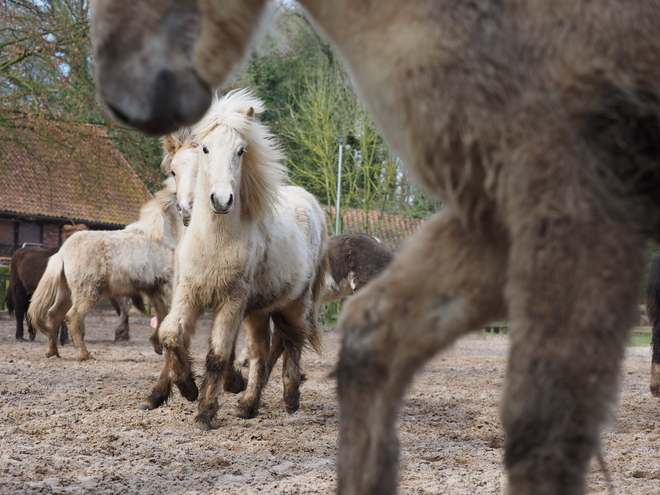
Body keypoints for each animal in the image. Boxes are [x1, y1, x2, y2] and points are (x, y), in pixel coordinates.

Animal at [28, 180, 183, 362]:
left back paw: (53, 352)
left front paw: (156, 344)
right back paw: (84, 354)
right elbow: (168, 314)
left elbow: (162, 314)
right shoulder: (167, 287)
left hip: (66, 293)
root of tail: (62, 253)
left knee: (53, 316)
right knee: (72, 318)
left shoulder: (153, 290)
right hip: (88, 293)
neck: (161, 237)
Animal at [146, 90, 328, 430]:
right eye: (205, 148)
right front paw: (185, 388)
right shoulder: (188, 293)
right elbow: (170, 336)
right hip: (259, 310)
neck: (214, 242)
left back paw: (289, 397)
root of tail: (310, 202)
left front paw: (205, 412)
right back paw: (247, 404)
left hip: (295, 302)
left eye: (241, 150)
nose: (220, 200)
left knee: (293, 341)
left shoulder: (231, 301)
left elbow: (218, 355)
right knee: (261, 350)